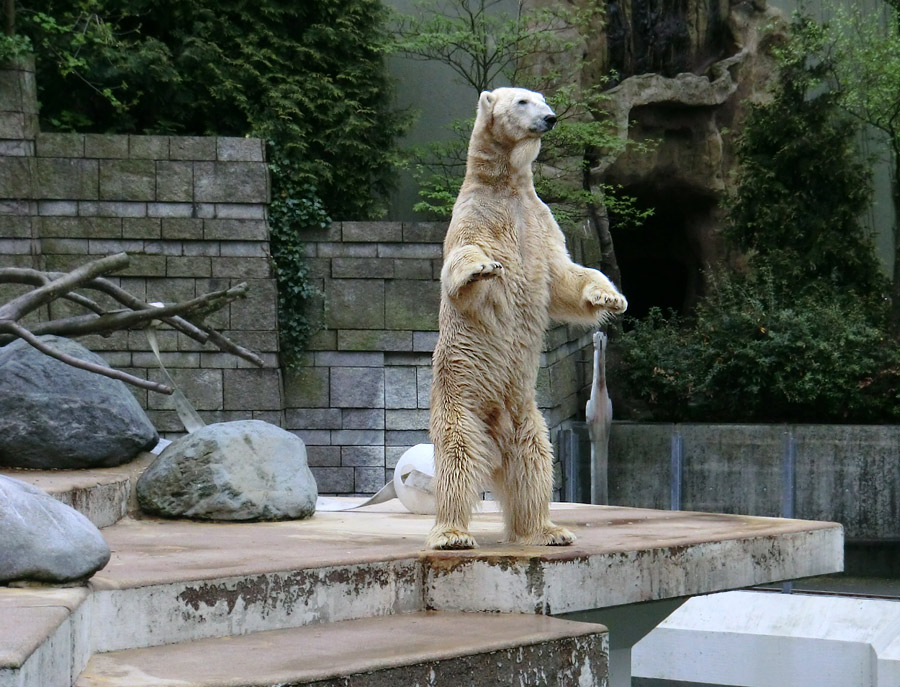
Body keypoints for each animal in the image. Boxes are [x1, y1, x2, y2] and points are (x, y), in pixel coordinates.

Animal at [428, 86, 624, 552]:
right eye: (521, 101)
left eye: (543, 99)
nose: (550, 118)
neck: (506, 187)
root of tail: (495, 440)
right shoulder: (475, 215)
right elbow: (464, 259)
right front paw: (483, 268)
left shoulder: (539, 221)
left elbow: (563, 275)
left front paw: (609, 296)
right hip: (461, 400)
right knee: (458, 460)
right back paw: (452, 534)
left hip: (527, 415)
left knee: (534, 464)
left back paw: (546, 529)